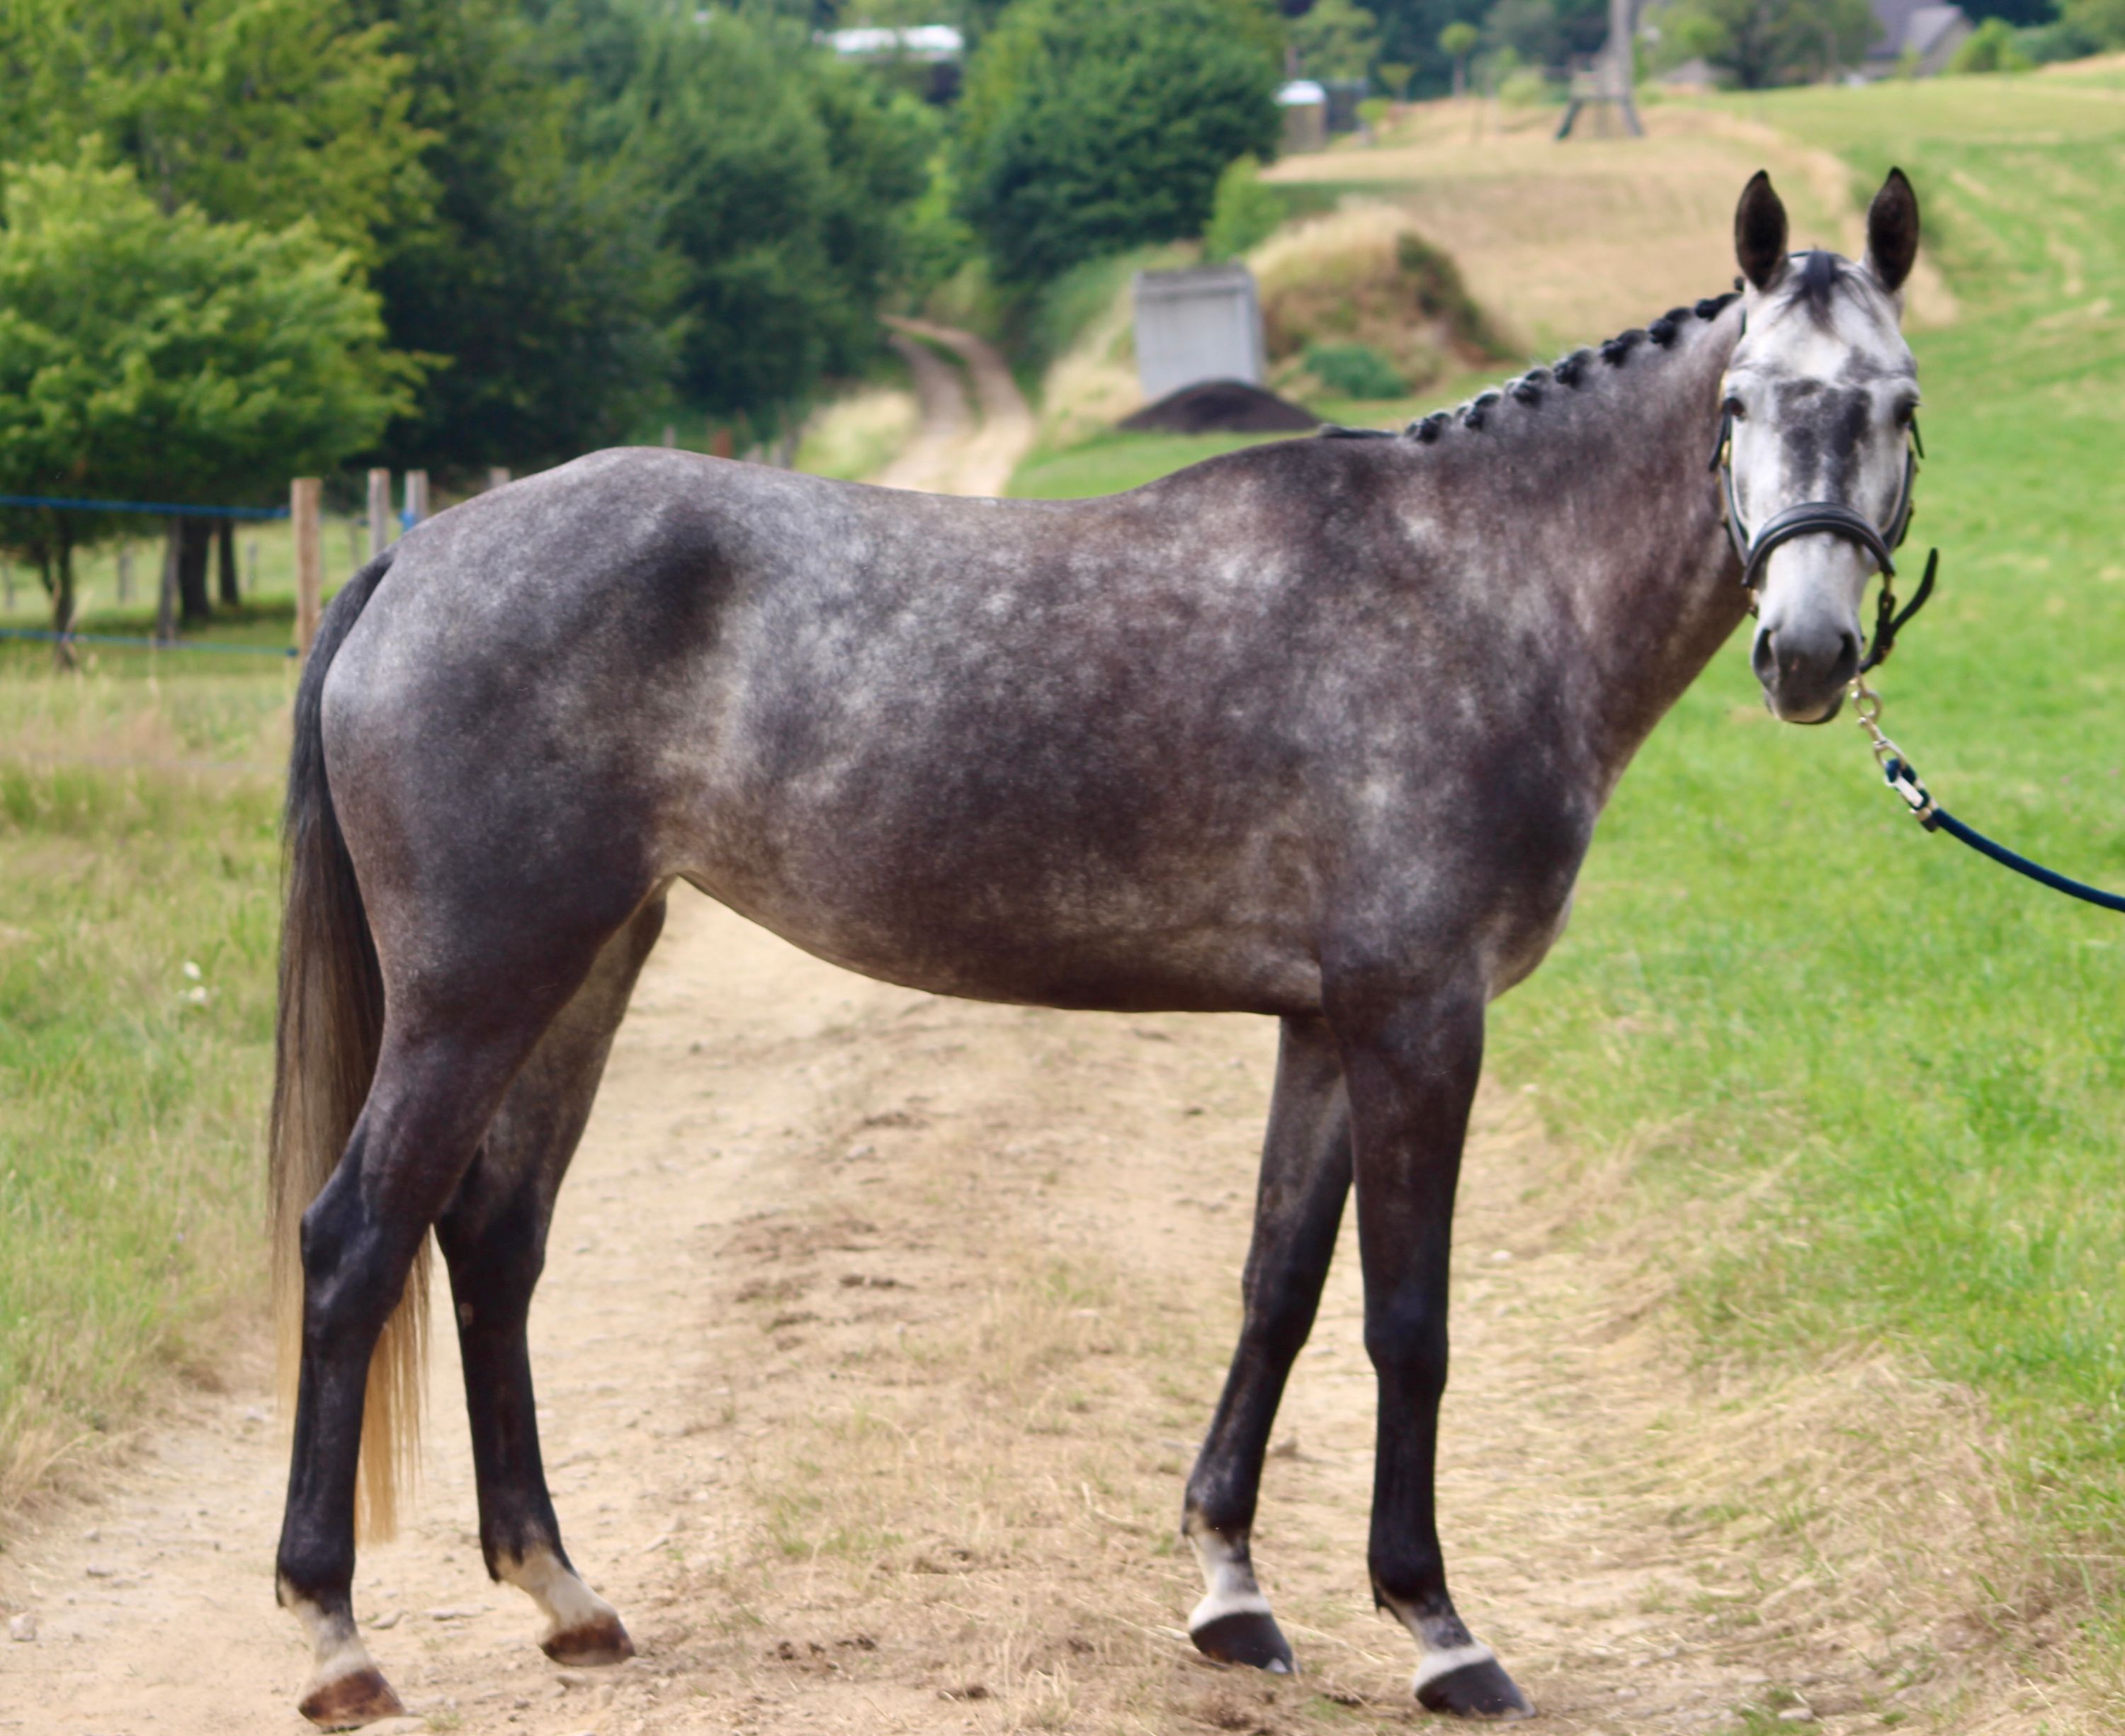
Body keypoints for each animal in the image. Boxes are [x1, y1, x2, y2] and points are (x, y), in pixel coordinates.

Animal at [268, 167, 1924, 1726]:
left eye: (1899, 405)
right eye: (1740, 404)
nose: (1809, 653)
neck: (1474, 586)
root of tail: (416, 560)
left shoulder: (1323, 1025)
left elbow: (1277, 1287)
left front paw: (1233, 1592)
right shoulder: (1419, 1018)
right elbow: (1407, 1321)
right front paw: (1441, 1629)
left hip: (586, 967)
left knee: (495, 1242)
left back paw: (566, 1596)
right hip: (477, 989)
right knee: (356, 1241)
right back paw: (339, 1640)